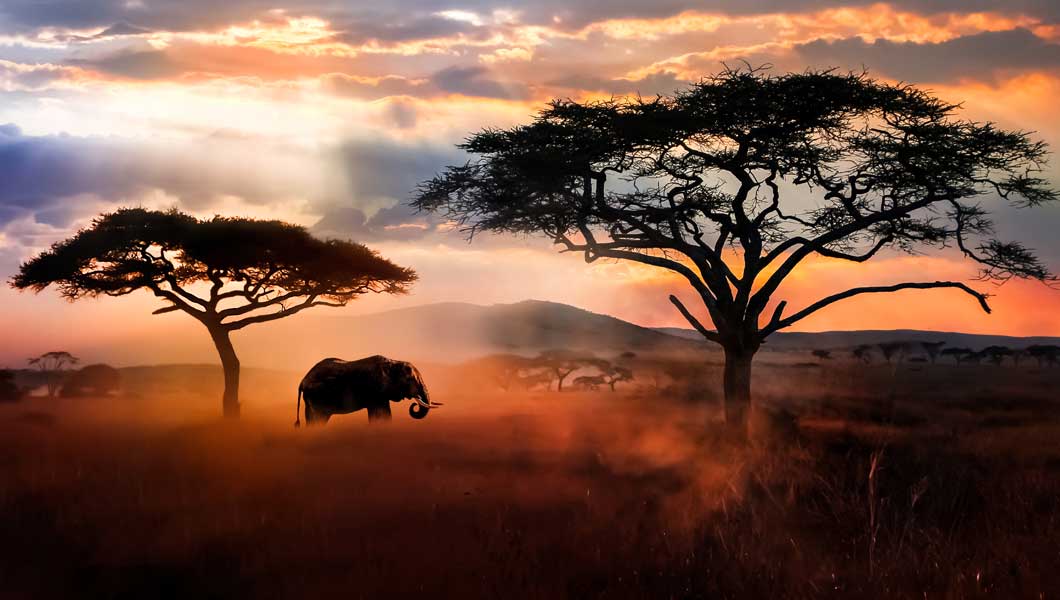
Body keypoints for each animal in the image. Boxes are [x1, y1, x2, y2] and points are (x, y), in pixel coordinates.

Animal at [296, 355, 441, 426]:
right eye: (409, 379)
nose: (415, 403)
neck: (393, 363)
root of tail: (302, 381)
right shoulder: (375, 391)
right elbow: (380, 414)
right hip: (317, 397)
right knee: (317, 419)